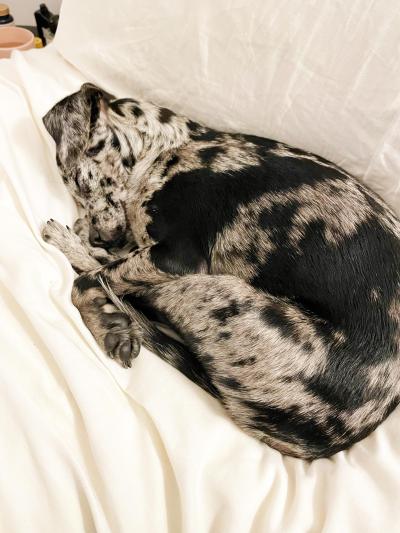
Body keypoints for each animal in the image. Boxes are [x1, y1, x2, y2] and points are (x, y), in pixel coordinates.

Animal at [41, 82, 400, 458]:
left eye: (81, 182)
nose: (97, 235)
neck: (168, 149)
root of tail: (320, 443)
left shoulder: (176, 256)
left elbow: (87, 282)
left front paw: (102, 316)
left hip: (215, 291)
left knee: (115, 287)